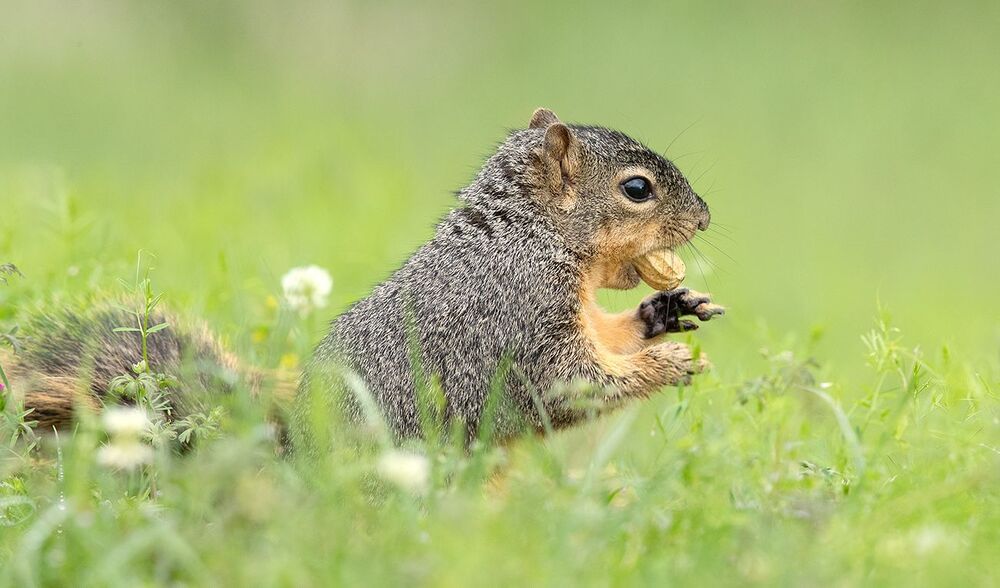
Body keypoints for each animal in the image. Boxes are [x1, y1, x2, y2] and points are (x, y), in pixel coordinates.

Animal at [1, 108, 723, 445]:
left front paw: (667, 311)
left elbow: (609, 337)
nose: (706, 217)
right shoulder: (514, 319)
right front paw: (666, 363)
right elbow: (565, 385)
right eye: (637, 189)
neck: (532, 239)